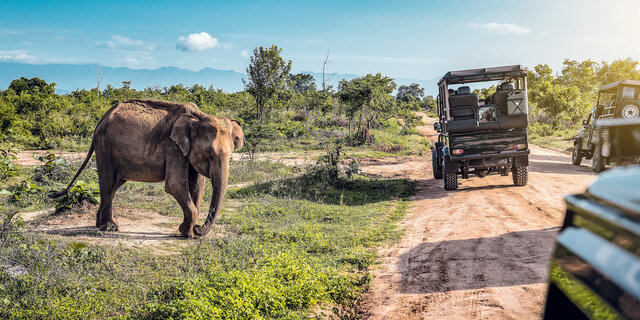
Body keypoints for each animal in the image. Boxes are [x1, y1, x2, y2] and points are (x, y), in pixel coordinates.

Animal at [62, 100, 245, 238]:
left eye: (232, 152)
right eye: (209, 152)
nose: (200, 228)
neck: (199, 116)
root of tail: (101, 120)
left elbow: (198, 186)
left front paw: (189, 232)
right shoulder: (173, 146)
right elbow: (174, 185)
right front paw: (187, 232)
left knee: (115, 184)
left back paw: (101, 225)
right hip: (105, 147)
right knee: (108, 183)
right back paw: (110, 228)